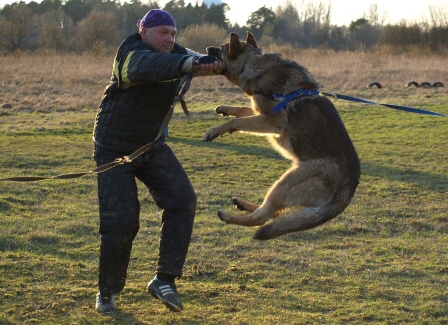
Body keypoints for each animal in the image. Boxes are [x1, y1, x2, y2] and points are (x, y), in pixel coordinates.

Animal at [204, 32, 360, 240]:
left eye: (221, 48)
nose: (207, 48)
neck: (251, 62)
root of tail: (350, 186)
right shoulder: (260, 113)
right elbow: (243, 109)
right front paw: (224, 109)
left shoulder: (272, 122)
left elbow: (236, 122)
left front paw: (215, 130)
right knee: (273, 212)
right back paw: (243, 205)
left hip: (284, 184)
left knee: (262, 218)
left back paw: (229, 217)